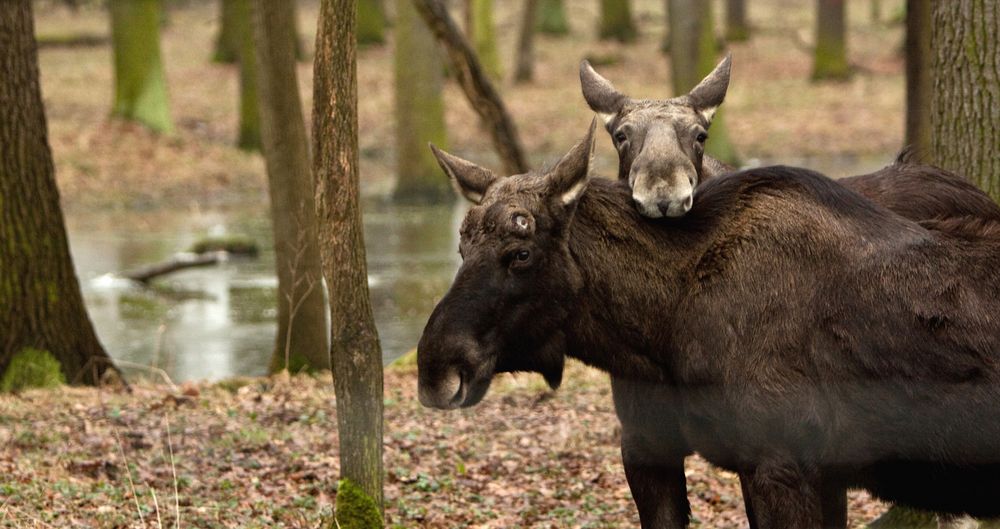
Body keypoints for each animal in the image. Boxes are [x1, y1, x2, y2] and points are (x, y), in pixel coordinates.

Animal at [418, 121, 1000, 524]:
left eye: (520, 253)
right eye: (461, 248)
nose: (436, 368)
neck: (664, 329)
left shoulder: (781, 465)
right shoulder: (661, 450)